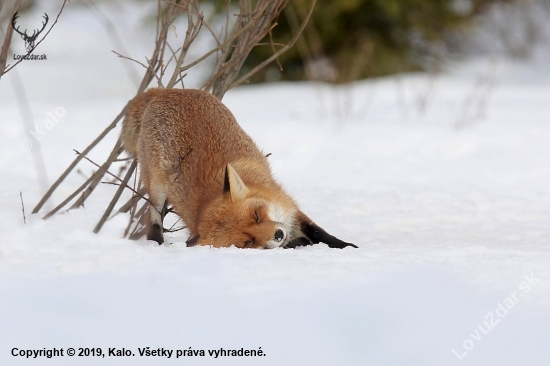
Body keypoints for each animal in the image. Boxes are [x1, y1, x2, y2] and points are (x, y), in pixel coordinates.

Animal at [121, 88, 358, 249]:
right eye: (247, 242)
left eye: (257, 216)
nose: (278, 235)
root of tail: (164, 91)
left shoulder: (286, 203)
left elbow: (319, 233)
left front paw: (347, 248)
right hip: (156, 190)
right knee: (152, 220)